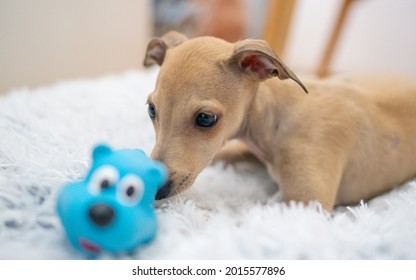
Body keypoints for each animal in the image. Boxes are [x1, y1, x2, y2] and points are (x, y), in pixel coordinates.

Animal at [142, 31, 416, 210]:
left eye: (206, 118)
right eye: (152, 110)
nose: (155, 189)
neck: (278, 118)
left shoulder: (307, 203)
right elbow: (225, 154)